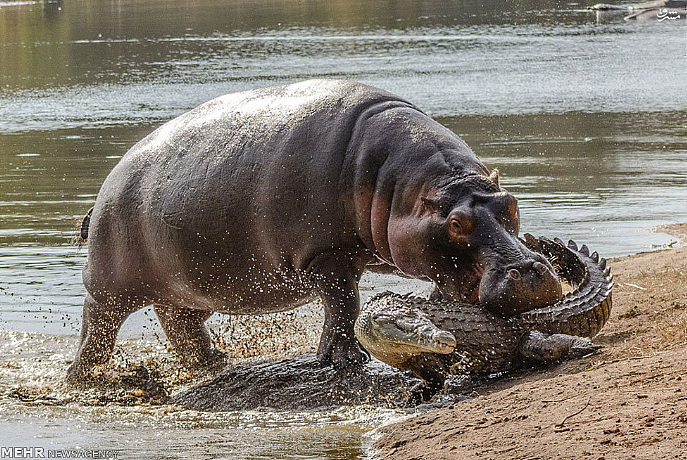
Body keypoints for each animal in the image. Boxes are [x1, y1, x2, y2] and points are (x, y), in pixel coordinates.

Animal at [67, 79, 564, 380]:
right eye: (457, 223)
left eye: (511, 204)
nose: (532, 272)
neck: (400, 186)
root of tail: (103, 191)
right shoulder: (325, 254)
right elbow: (344, 304)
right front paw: (345, 361)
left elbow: (439, 289)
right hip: (112, 285)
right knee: (98, 325)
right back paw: (86, 380)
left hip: (190, 287)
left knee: (180, 324)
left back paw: (216, 364)